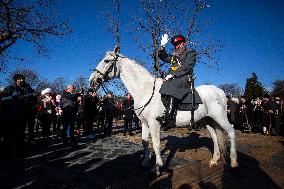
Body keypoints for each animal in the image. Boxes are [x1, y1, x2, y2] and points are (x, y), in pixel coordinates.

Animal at [89, 46, 237, 176]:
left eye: (106, 61)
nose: (92, 81)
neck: (145, 90)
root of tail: (220, 91)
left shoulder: (154, 123)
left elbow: (156, 144)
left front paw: (157, 168)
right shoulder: (144, 123)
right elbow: (145, 142)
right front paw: (145, 163)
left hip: (220, 118)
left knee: (231, 132)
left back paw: (234, 163)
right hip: (208, 120)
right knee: (215, 137)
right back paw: (214, 160)